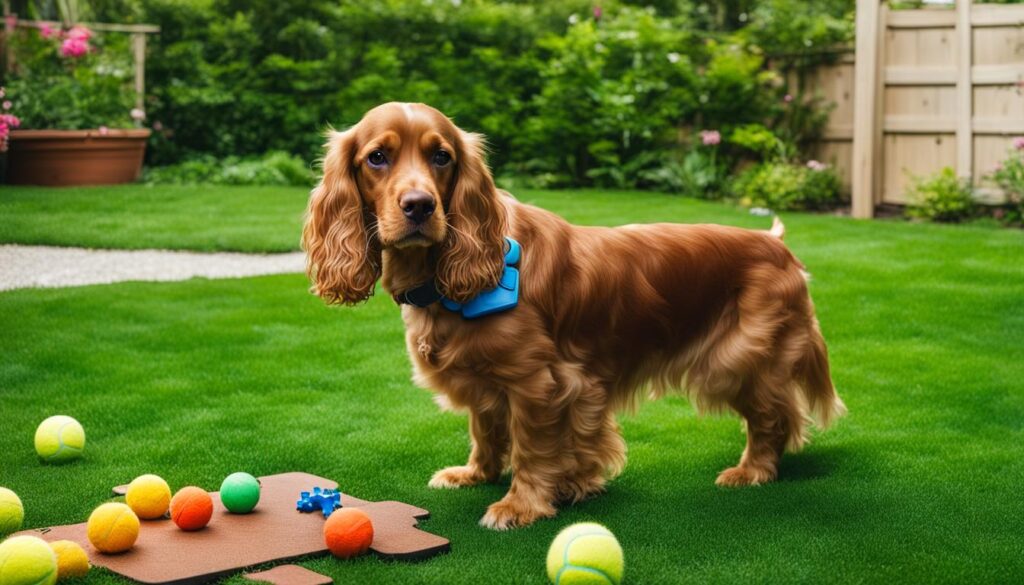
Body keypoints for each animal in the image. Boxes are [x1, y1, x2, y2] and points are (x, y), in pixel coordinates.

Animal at [303, 101, 847, 532]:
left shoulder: (540, 382)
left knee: (773, 417)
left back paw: (752, 470)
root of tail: (777, 244)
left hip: (736, 359)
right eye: (377, 157)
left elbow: (534, 447)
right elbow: (486, 428)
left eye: (442, 157)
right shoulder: (487, 380)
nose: (419, 206)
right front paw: (477, 474)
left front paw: (522, 505)